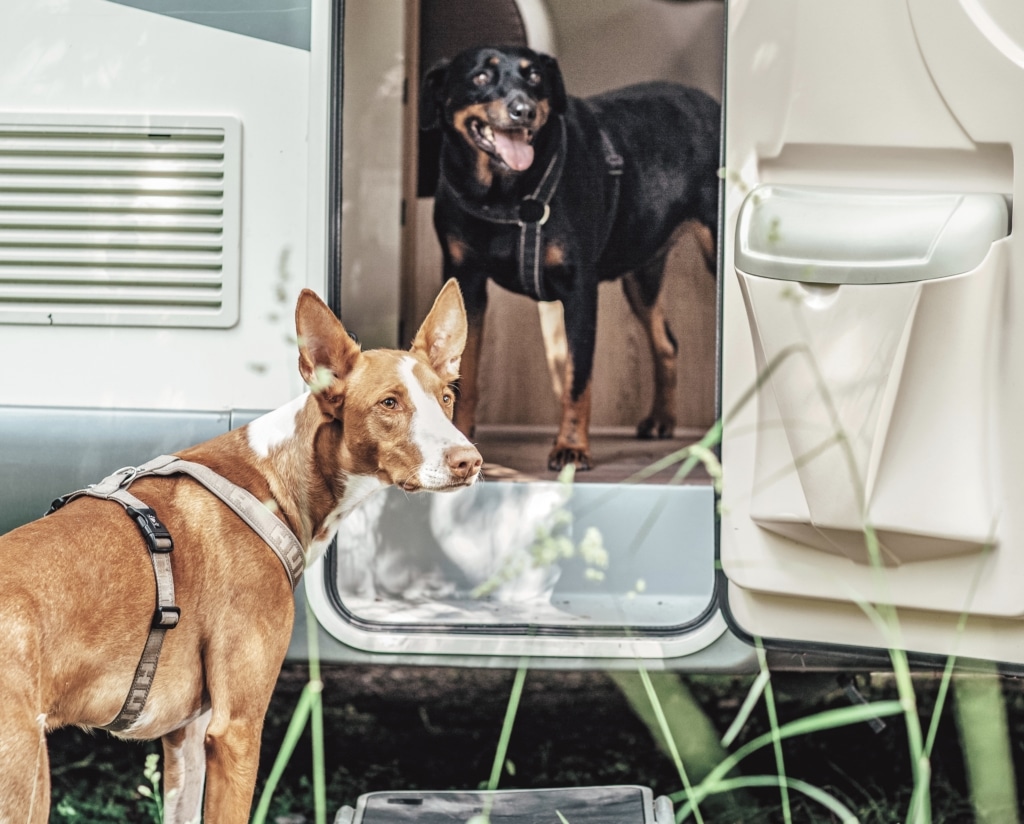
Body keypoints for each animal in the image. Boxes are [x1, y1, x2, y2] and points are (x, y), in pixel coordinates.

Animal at [0, 278, 479, 822]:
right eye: (390, 403)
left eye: (446, 397)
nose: (469, 461)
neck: (271, 477)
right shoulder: (236, 729)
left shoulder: (185, 734)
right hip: (29, 786)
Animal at [421, 45, 720, 468]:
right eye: (480, 77)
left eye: (534, 76)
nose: (523, 110)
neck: (507, 194)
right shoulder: (467, 282)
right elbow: (465, 370)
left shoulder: (579, 291)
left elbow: (577, 380)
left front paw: (572, 447)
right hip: (642, 276)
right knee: (666, 342)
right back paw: (662, 419)